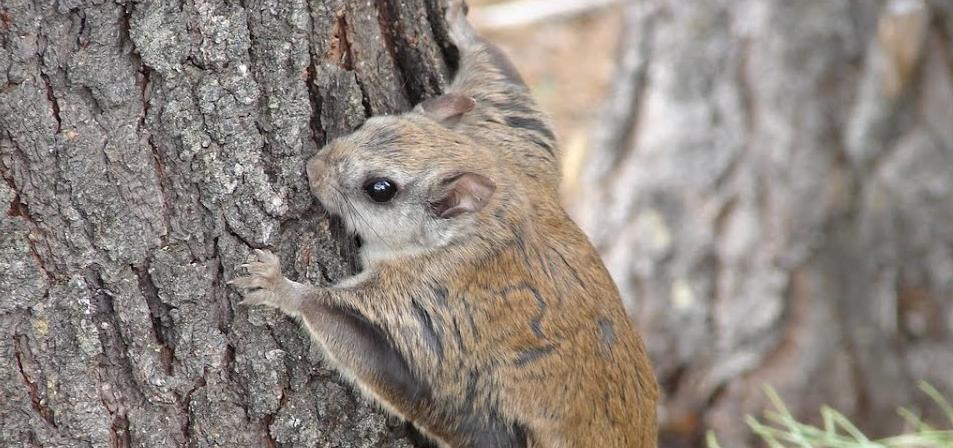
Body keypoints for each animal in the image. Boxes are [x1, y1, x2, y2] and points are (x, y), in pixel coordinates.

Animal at [232, 1, 656, 446]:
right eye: (369, 123)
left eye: (380, 189)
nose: (313, 169)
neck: (477, 225)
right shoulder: (517, 147)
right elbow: (508, 90)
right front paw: (461, 27)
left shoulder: (427, 300)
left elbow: (367, 341)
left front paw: (280, 287)